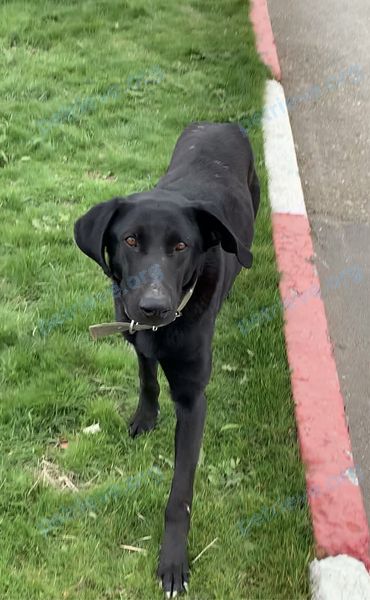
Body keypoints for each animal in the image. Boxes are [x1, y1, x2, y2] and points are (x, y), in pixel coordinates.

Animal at [74, 123, 260, 596]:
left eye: (180, 246)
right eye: (130, 240)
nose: (154, 307)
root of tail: (220, 122)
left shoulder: (194, 401)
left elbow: (180, 495)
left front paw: (172, 562)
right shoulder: (135, 335)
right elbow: (147, 378)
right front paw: (146, 417)